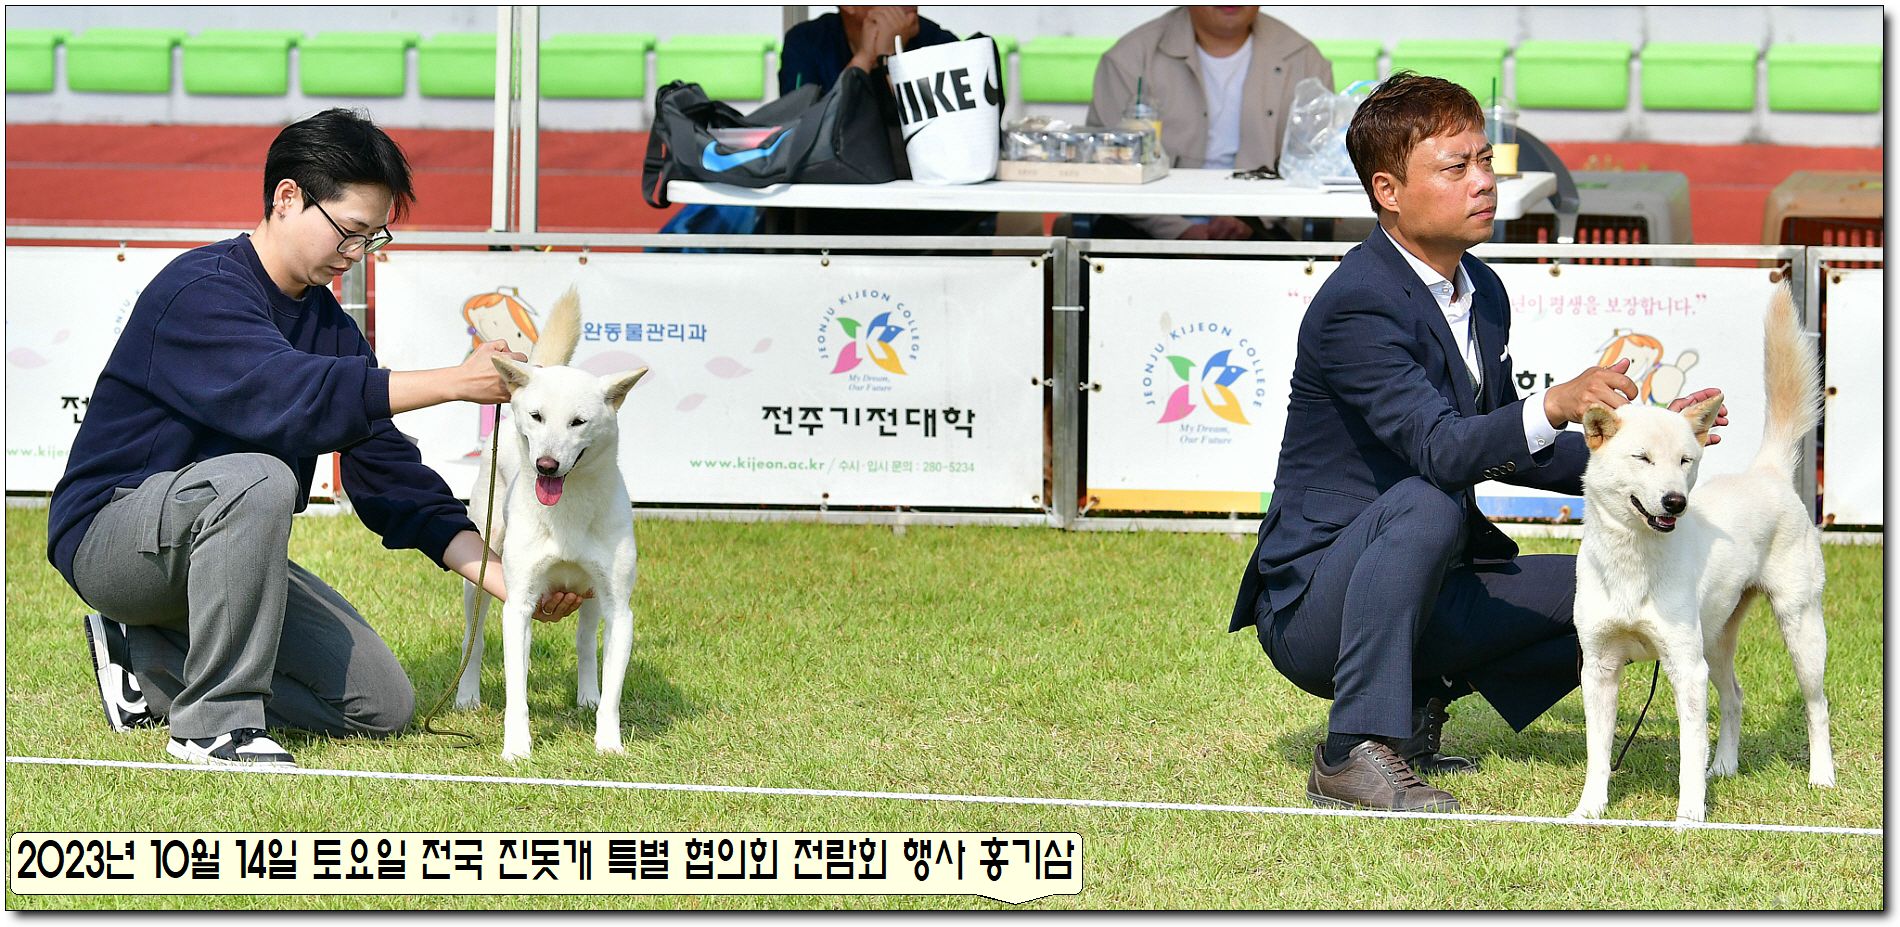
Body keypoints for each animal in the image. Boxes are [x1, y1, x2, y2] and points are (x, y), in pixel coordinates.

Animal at [454, 286, 649, 760]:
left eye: (578, 422)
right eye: (537, 417)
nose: (545, 465)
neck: (568, 512)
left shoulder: (619, 607)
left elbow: (612, 688)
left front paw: (608, 743)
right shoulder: (520, 599)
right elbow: (516, 693)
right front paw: (516, 748)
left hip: (591, 595)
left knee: (584, 644)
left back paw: (587, 695)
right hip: (481, 571)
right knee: (477, 637)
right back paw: (467, 695)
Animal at [1570, 281, 1833, 822]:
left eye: (1686, 460)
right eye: (1642, 458)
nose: (1676, 501)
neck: (1635, 562)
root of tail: (1767, 471)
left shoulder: (1685, 669)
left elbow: (1689, 748)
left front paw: (1689, 816)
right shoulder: (1599, 668)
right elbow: (1597, 752)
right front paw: (1588, 811)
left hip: (1799, 627)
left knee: (1817, 706)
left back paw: (1821, 776)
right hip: (1715, 638)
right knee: (1735, 697)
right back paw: (1725, 767)